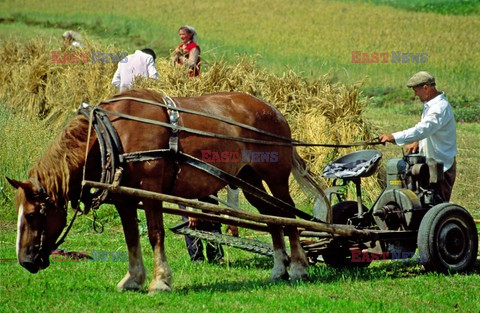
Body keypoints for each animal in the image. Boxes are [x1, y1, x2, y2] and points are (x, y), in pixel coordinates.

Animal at [7, 89, 326, 294]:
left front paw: (160, 281)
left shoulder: (151, 191)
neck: (112, 135)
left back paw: (298, 268)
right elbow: (131, 237)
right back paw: (279, 268)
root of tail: (274, 111)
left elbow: (155, 234)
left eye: (33, 216)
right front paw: (133, 279)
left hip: (275, 177)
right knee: (272, 217)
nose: (24, 261)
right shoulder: (124, 197)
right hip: (250, 179)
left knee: (287, 215)